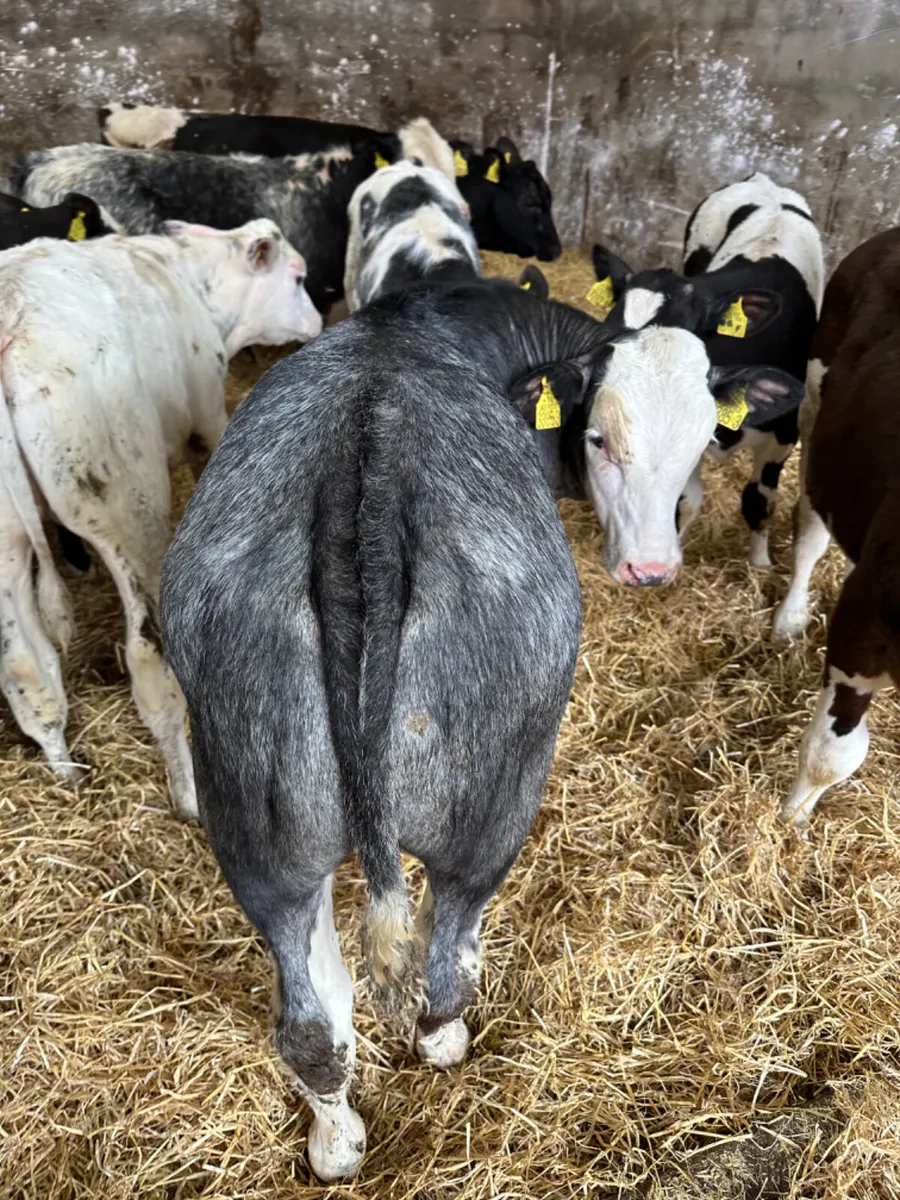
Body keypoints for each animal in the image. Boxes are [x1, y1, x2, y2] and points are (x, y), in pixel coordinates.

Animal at [0, 219, 321, 818]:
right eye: (297, 276)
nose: (315, 323)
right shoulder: (208, 417)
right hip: (124, 505)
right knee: (151, 660)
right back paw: (190, 795)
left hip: (8, 542)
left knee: (27, 668)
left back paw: (67, 773)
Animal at [158, 277, 597, 1179]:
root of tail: (367, 461)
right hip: (491, 808)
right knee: (444, 967)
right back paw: (442, 1041)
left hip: (257, 817)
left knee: (310, 1022)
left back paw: (337, 1145)